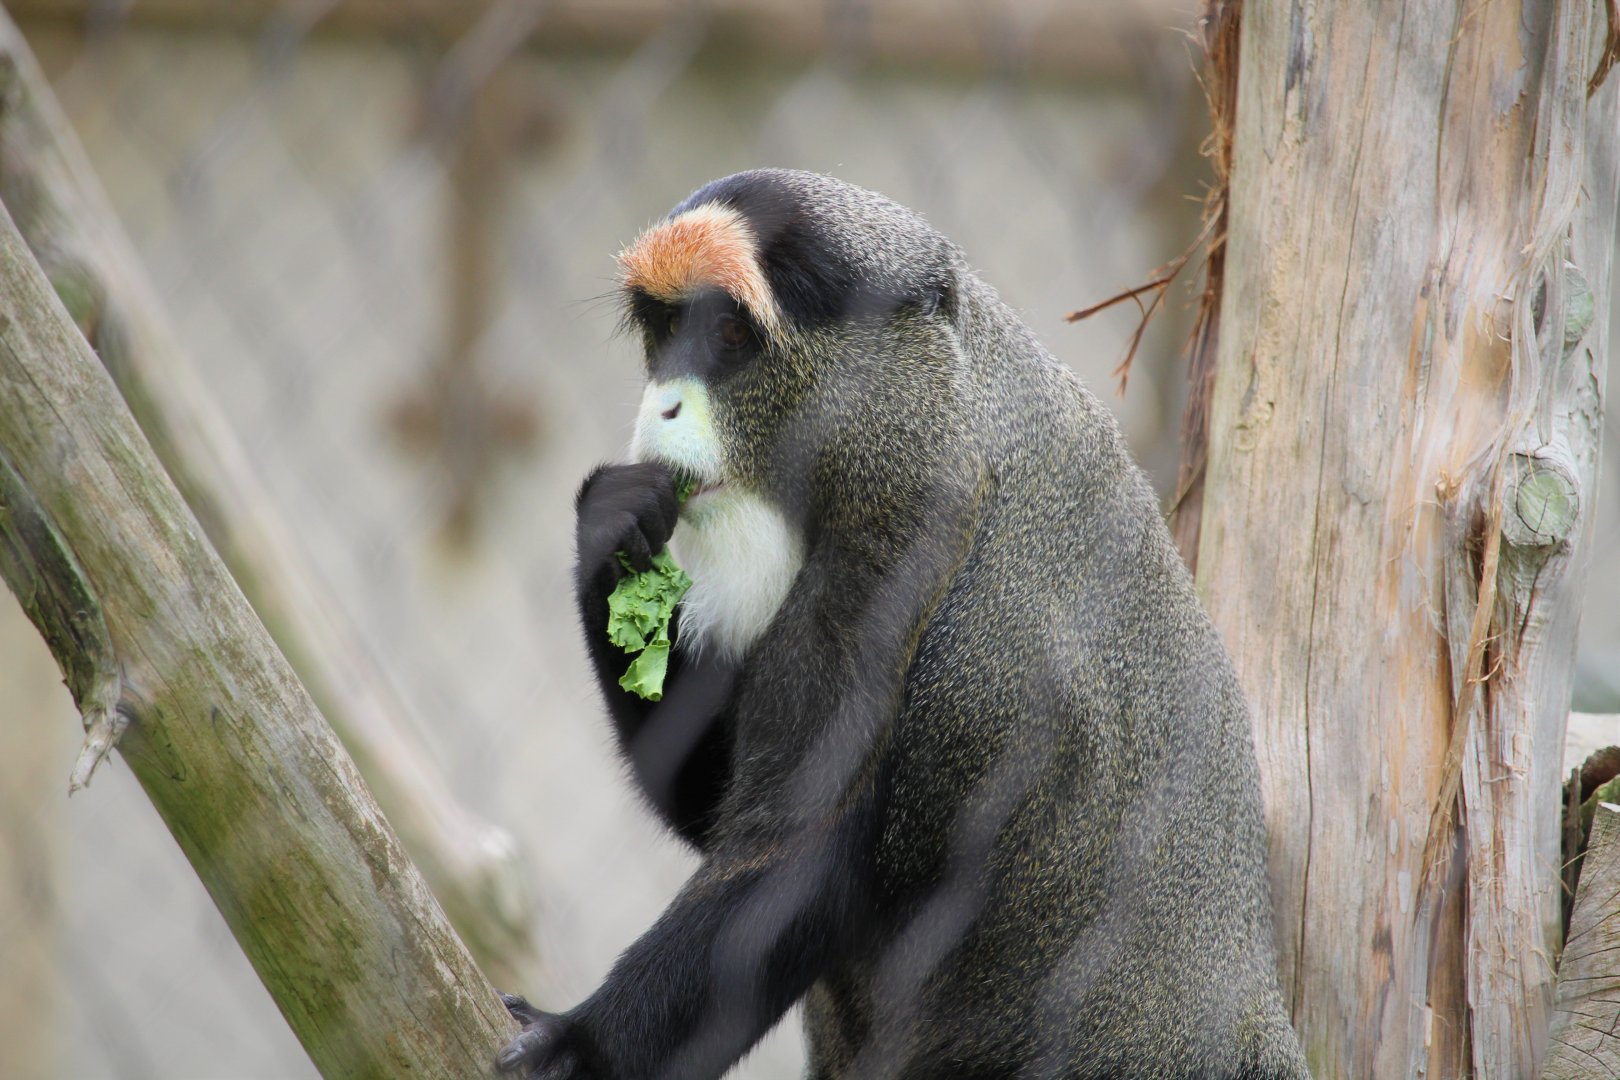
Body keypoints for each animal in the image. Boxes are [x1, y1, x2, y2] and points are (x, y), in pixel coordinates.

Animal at [497, 170, 1311, 1080]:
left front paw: (575, 1046)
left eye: (731, 333)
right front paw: (608, 528)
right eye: (669, 327)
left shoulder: (905, 556)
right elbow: (713, 812)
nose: (662, 407)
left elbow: (793, 862)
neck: (949, 411)